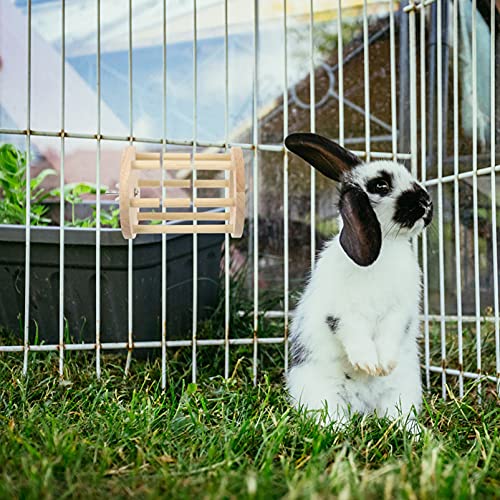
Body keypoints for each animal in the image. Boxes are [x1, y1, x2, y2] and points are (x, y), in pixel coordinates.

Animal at [286, 133, 434, 430]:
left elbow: (390, 332)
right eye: (381, 185)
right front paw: (368, 364)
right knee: (329, 416)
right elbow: (354, 332)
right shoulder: (342, 312)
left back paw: (414, 432)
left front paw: (383, 365)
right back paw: (338, 430)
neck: (386, 246)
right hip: (319, 391)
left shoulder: (400, 310)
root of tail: (363, 406)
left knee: (399, 416)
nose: (426, 203)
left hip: (403, 392)